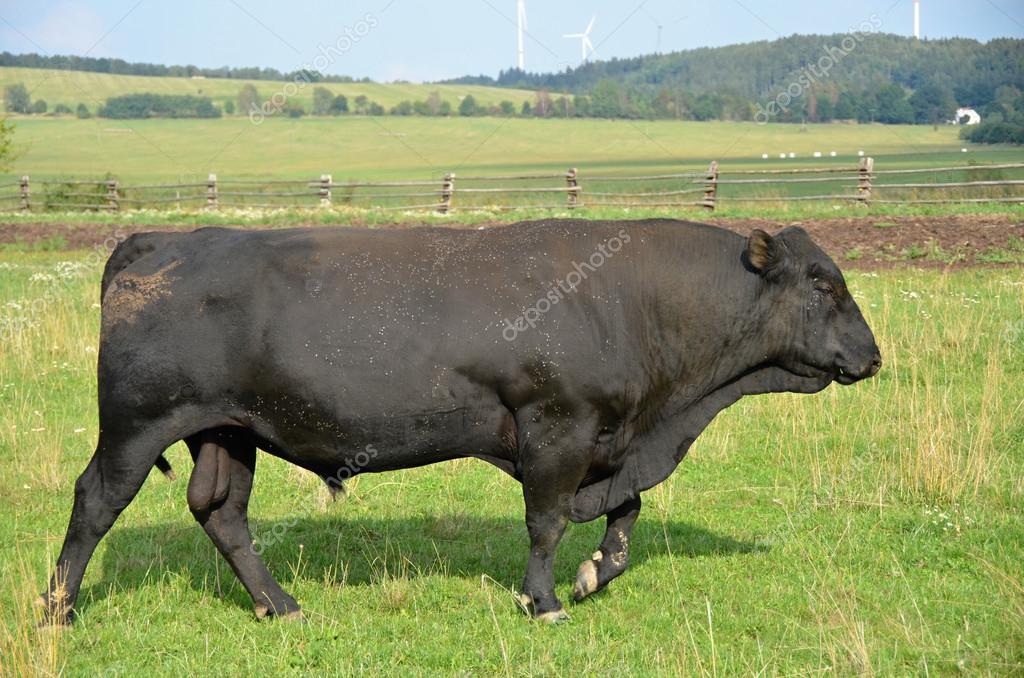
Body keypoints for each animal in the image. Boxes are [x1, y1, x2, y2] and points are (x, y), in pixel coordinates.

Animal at [40, 219, 880, 625]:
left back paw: (279, 606)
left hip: (227, 432)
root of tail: (159, 239)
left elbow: (626, 515)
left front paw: (593, 576)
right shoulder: (556, 428)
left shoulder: (611, 441)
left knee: (221, 513)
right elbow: (546, 522)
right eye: (823, 283)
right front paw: (544, 601)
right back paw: (58, 611)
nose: (873, 356)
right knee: (94, 504)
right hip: (135, 426)